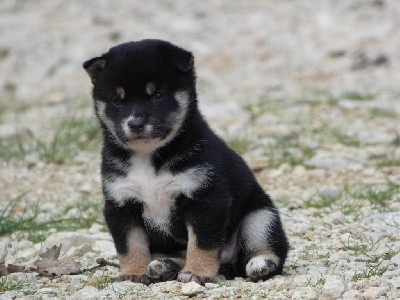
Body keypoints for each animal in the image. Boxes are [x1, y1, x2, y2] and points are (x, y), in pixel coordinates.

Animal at [83, 39, 288, 286]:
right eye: (117, 100)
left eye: (158, 94)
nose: (136, 123)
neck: (149, 158)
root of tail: (228, 264)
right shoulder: (121, 205)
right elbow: (130, 245)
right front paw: (134, 272)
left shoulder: (206, 199)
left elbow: (202, 243)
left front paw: (197, 272)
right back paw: (164, 267)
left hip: (261, 217)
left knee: (270, 249)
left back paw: (261, 265)